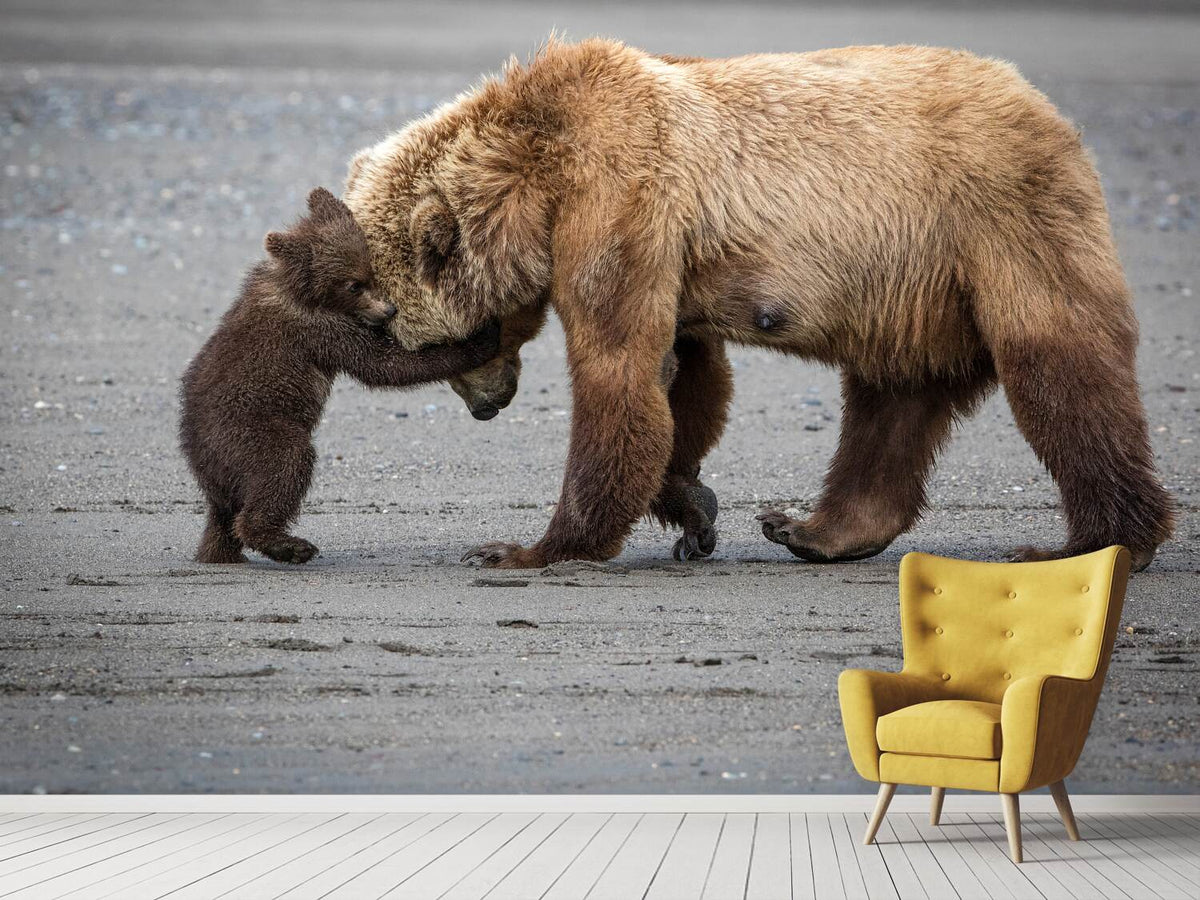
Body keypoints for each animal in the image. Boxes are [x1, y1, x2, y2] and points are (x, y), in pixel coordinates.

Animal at [179, 187, 500, 565]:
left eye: (370, 272)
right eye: (352, 285)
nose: (388, 310)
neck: (300, 290)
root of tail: (200, 460)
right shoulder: (320, 330)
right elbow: (383, 364)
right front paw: (482, 337)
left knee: (223, 517)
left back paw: (221, 552)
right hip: (250, 431)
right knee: (285, 465)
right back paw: (290, 544)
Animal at [343, 39, 1174, 571]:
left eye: (428, 342)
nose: (488, 406)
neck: (536, 174)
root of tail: (1047, 108)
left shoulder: (620, 197)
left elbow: (619, 370)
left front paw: (528, 547)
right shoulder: (665, 245)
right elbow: (684, 378)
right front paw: (693, 508)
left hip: (997, 220)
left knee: (1059, 366)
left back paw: (1094, 541)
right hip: (912, 288)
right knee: (893, 400)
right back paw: (813, 529)